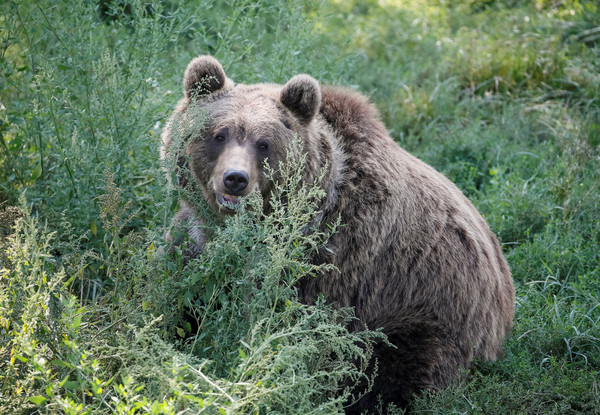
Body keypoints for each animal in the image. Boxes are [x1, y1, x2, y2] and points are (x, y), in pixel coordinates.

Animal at [161, 55, 516, 412]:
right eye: (219, 134)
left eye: (264, 144)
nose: (235, 178)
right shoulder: (197, 238)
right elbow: (181, 292)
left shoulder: (333, 256)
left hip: (431, 310)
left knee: (395, 365)